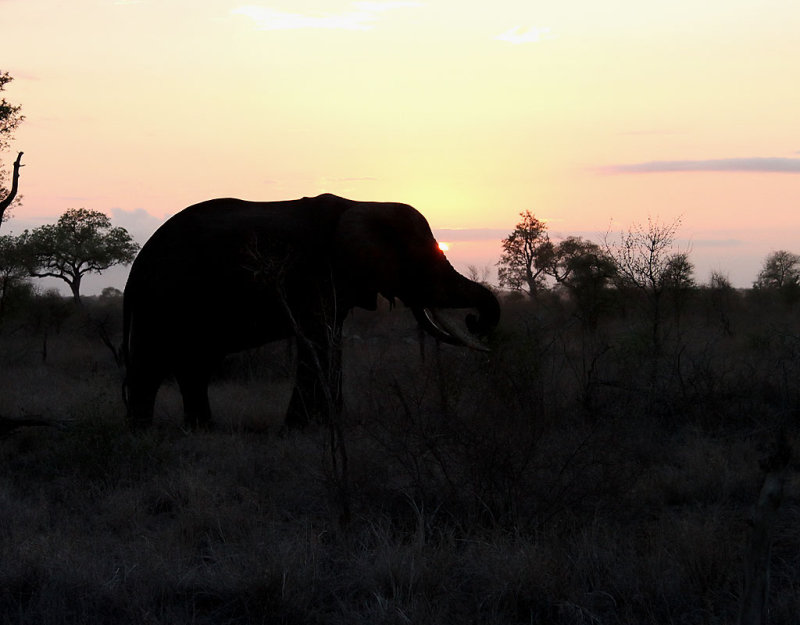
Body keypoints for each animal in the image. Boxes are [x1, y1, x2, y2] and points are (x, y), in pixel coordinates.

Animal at [122, 194, 500, 428]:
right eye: (419, 262)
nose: (475, 320)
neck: (362, 204)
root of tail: (137, 265)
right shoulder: (315, 274)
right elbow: (318, 339)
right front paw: (303, 428)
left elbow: (331, 339)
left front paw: (330, 424)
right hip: (161, 300)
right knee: (153, 364)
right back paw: (144, 435)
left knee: (194, 366)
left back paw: (203, 431)